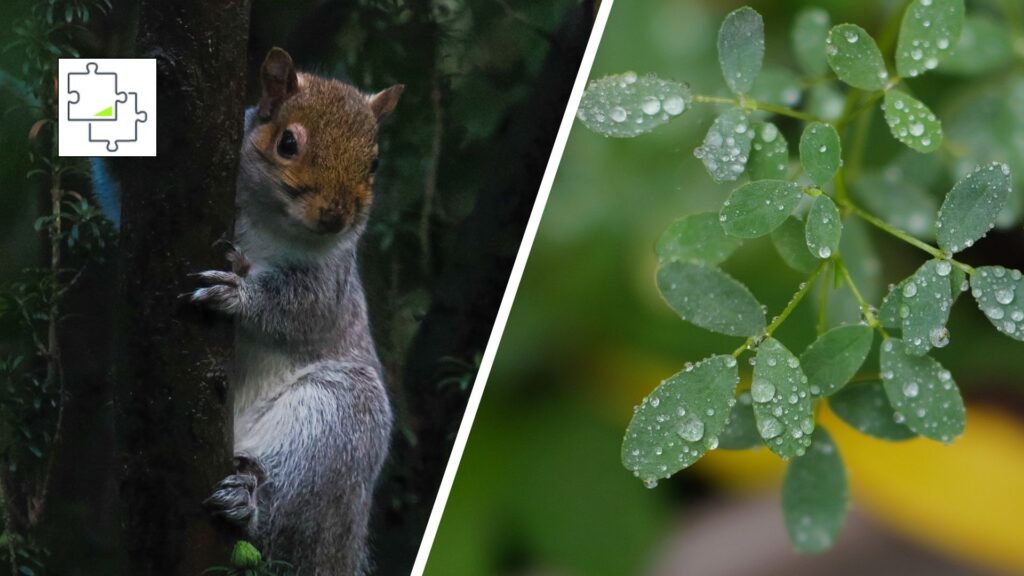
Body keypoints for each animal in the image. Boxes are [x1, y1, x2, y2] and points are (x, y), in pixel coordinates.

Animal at [94, 47, 403, 574]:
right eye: (287, 143)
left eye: (375, 162)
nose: (336, 215)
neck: (268, 218)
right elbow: (121, 202)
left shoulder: (331, 279)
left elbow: (299, 307)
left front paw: (237, 293)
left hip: (339, 420)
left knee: (286, 515)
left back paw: (249, 502)